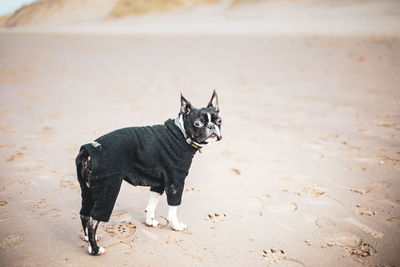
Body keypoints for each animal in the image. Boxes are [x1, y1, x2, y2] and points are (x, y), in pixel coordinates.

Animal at [75, 91, 222, 256]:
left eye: (219, 121)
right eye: (197, 124)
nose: (212, 126)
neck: (181, 134)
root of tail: (87, 150)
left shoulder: (159, 183)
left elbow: (151, 204)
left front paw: (150, 221)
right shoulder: (175, 182)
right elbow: (173, 209)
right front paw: (176, 225)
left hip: (88, 190)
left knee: (84, 214)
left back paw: (88, 239)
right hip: (108, 187)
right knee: (93, 220)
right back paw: (94, 249)